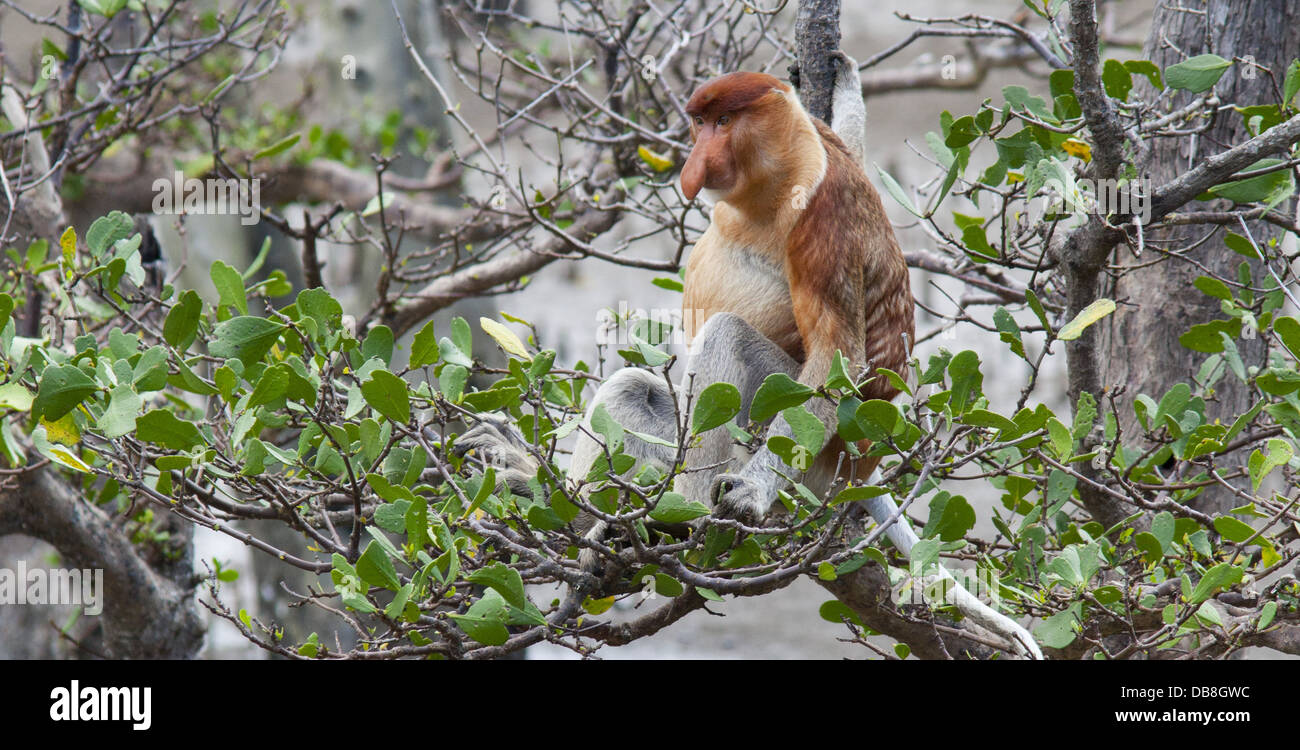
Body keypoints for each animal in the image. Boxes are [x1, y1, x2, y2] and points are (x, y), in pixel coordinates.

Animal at [457, 55, 1045, 657]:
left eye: (723, 122)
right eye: (698, 123)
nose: (694, 164)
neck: (785, 170)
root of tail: (862, 465)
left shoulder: (823, 223)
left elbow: (838, 357)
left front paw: (751, 494)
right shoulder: (830, 144)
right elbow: (853, 143)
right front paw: (842, 83)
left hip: (806, 454)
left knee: (728, 338)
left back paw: (673, 522)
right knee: (632, 387)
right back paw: (563, 504)